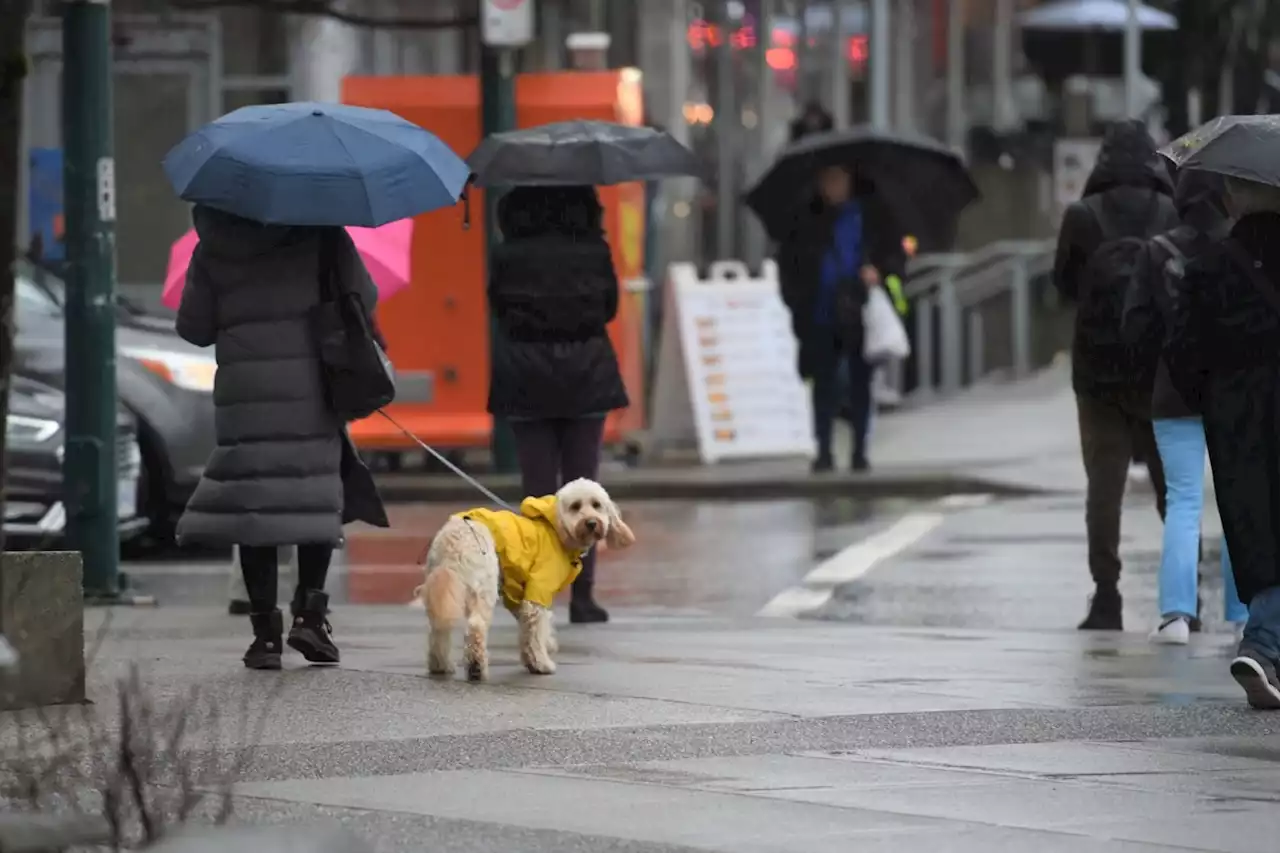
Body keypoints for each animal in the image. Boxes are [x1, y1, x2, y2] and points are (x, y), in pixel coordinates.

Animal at [414, 479, 634, 676]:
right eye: (575, 506)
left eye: (597, 505)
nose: (591, 523)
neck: (558, 529)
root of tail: (453, 536)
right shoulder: (537, 593)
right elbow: (535, 631)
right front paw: (542, 664)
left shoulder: (517, 594)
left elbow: (529, 629)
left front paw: (536, 656)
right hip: (483, 587)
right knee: (476, 626)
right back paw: (476, 667)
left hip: (442, 589)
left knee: (438, 629)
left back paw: (440, 665)